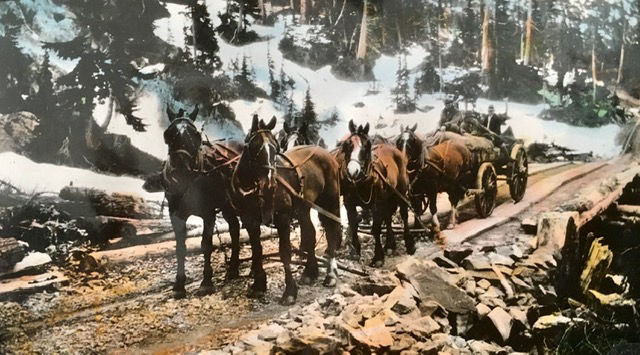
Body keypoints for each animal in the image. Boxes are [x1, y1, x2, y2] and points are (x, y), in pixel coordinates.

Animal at [151, 106, 244, 300]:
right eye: (168, 134)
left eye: (195, 134)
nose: (181, 168)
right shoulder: (176, 215)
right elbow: (180, 248)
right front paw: (179, 285)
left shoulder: (208, 213)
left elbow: (206, 245)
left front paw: (206, 282)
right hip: (227, 205)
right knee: (234, 229)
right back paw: (233, 269)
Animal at [228, 115, 342, 304]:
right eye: (255, 146)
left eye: (276, 146)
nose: (270, 184)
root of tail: (324, 152)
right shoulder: (249, 220)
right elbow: (256, 250)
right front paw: (259, 284)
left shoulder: (283, 218)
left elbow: (285, 253)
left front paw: (289, 291)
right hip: (304, 208)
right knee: (310, 234)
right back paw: (310, 272)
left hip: (329, 201)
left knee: (331, 231)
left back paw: (330, 275)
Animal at [332, 120, 412, 268]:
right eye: (347, 145)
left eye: (367, 145)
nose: (353, 171)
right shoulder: (349, 204)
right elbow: (354, 224)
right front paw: (355, 251)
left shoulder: (376, 205)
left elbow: (375, 228)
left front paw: (378, 257)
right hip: (388, 197)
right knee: (388, 217)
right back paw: (390, 245)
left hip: (401, 192)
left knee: (404, 214)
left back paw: (409, 244)